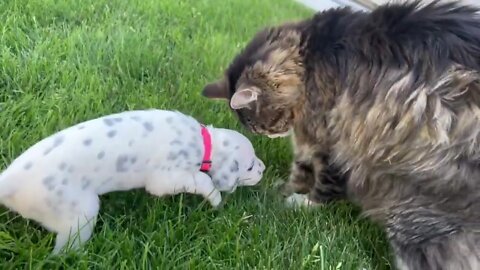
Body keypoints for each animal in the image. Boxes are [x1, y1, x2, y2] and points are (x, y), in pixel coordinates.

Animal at [0, 108, 264, 254]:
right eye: (250, 165)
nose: (263, 169)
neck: (203, 140)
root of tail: (9, 180)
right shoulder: (165, 178)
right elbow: (201, 179)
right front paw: (216, 199)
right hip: (79, 213)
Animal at [201, 1, 480, 268]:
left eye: (263, 125)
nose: (271, 136)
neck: (311, 57)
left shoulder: (333, 146)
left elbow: (321, 186)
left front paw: (299, 204)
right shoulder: (310, 144)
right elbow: (299, 172)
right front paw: (281, 190)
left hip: (414, 213)